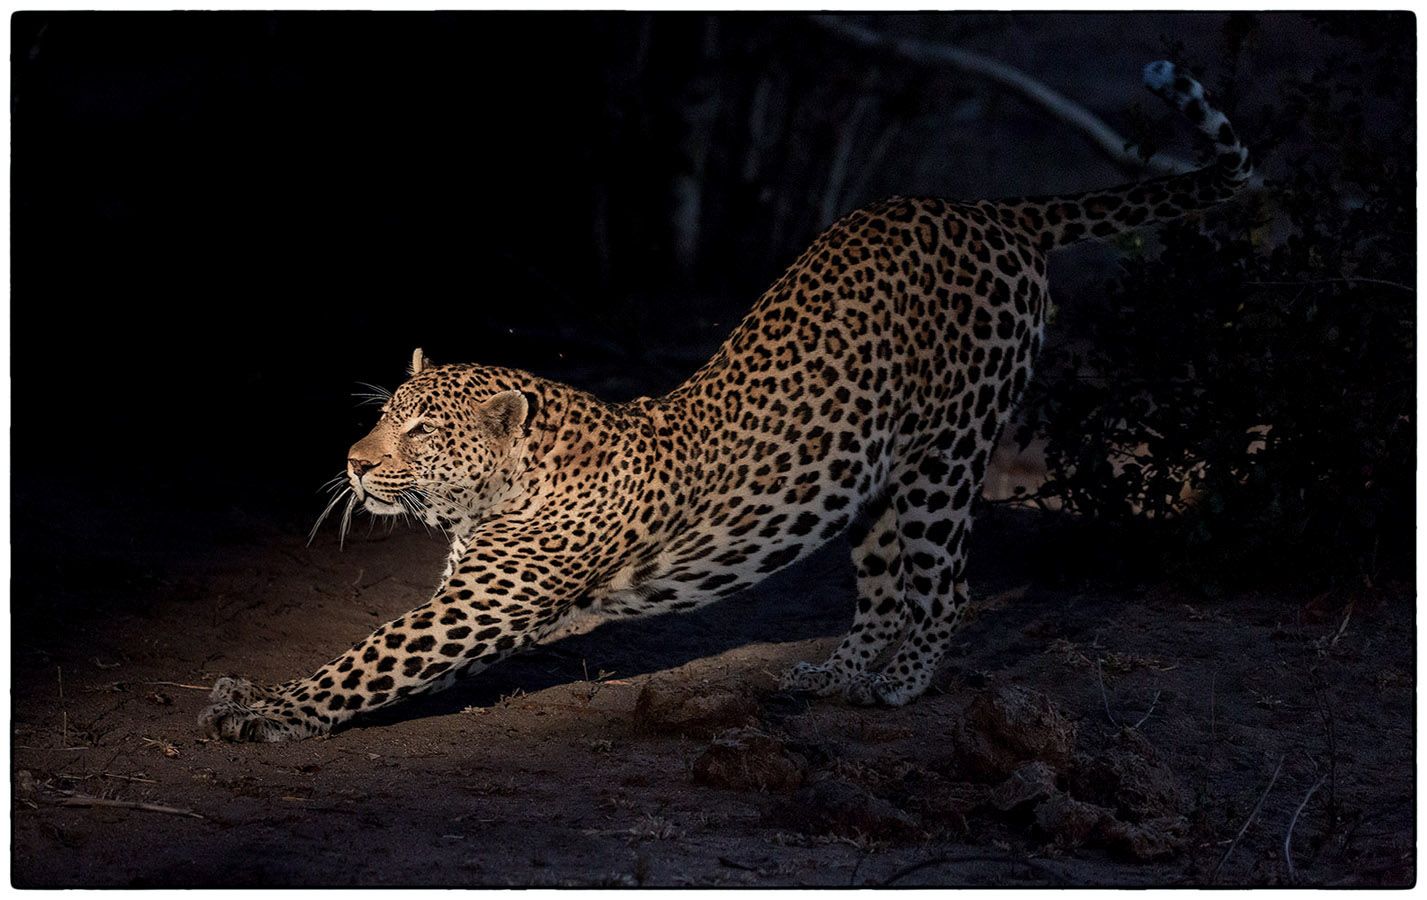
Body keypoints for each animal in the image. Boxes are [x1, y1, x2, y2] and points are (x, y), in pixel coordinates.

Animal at [198, 59, 1250, 741]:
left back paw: (897, 690)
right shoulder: (471, 590)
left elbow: (367, 660)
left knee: (943, 581)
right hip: (869, 479)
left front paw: (265, 710)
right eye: (383, 414)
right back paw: (830, 676)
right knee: (882, 589)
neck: (511, 479)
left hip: (947, 454)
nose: (351, 464)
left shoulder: (480, 605)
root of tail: (989, 210)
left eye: (419, 429)